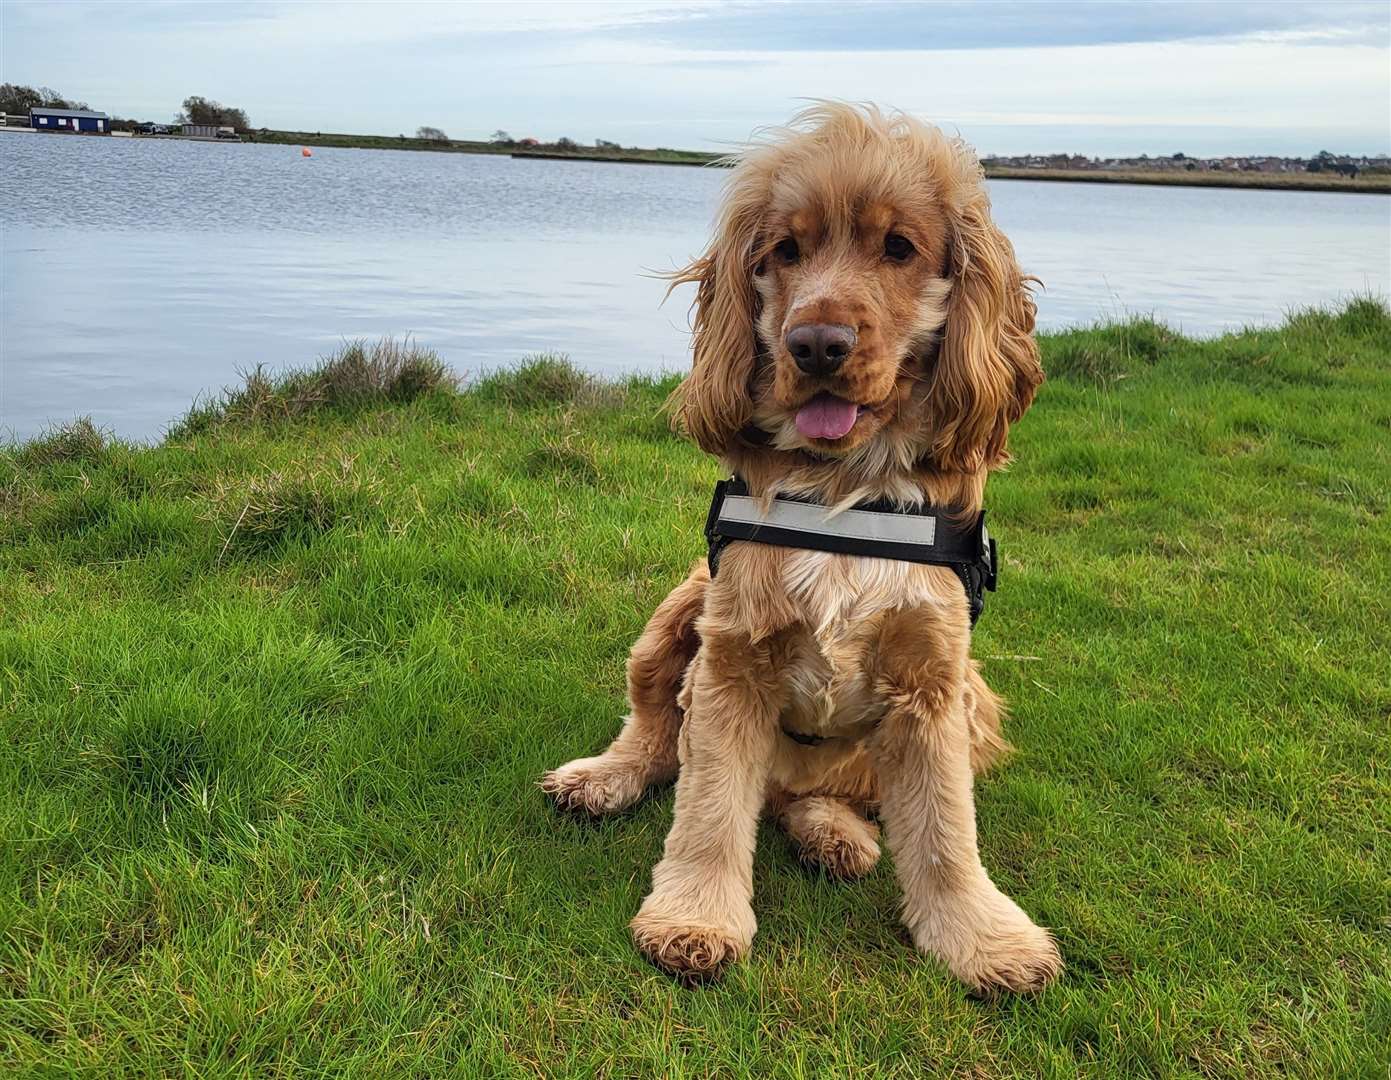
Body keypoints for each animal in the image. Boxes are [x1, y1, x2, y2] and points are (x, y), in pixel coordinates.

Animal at [539, 105, 1051, 990]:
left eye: (898, 248)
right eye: (784, 251)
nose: (814, 343)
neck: (845, 483)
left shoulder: (934, 683)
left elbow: (946, 830)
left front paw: (984, 938)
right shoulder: (731, 658)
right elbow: (707, 806)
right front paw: (693, 918)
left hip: (974, 700)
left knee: (820, 796)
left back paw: (831, 833)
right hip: (677, 608)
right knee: (655, 731)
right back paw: (602, 779)